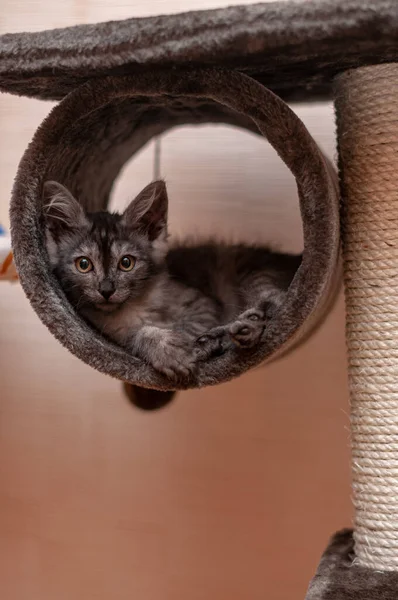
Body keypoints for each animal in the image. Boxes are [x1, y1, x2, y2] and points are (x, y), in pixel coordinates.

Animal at [42, 180, 298, 382]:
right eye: (84, 265)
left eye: (126, 263)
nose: (106, 290)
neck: (134, 306)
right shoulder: (107, 335)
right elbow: (138, 334)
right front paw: (164, 348)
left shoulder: (203, 304)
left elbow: (188, 329)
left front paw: (187, 346)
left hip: (251, 271)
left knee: (272, 302)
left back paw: (240, 330)